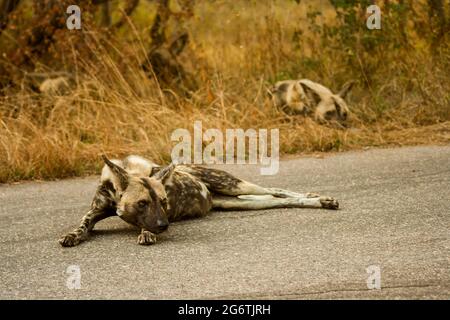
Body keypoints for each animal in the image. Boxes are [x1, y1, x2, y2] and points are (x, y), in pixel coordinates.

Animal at [59, 154, 340, 246]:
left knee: (278, 191)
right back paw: (318, 199)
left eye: (163, 201)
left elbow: (143, 225)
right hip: (240, 201)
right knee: (276, 198)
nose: (164, 226)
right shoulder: (96, 210)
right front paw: (72, 235)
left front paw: (146, 233)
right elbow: (83, 224)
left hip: (234, 185)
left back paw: (322, 199)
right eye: (142, 203)